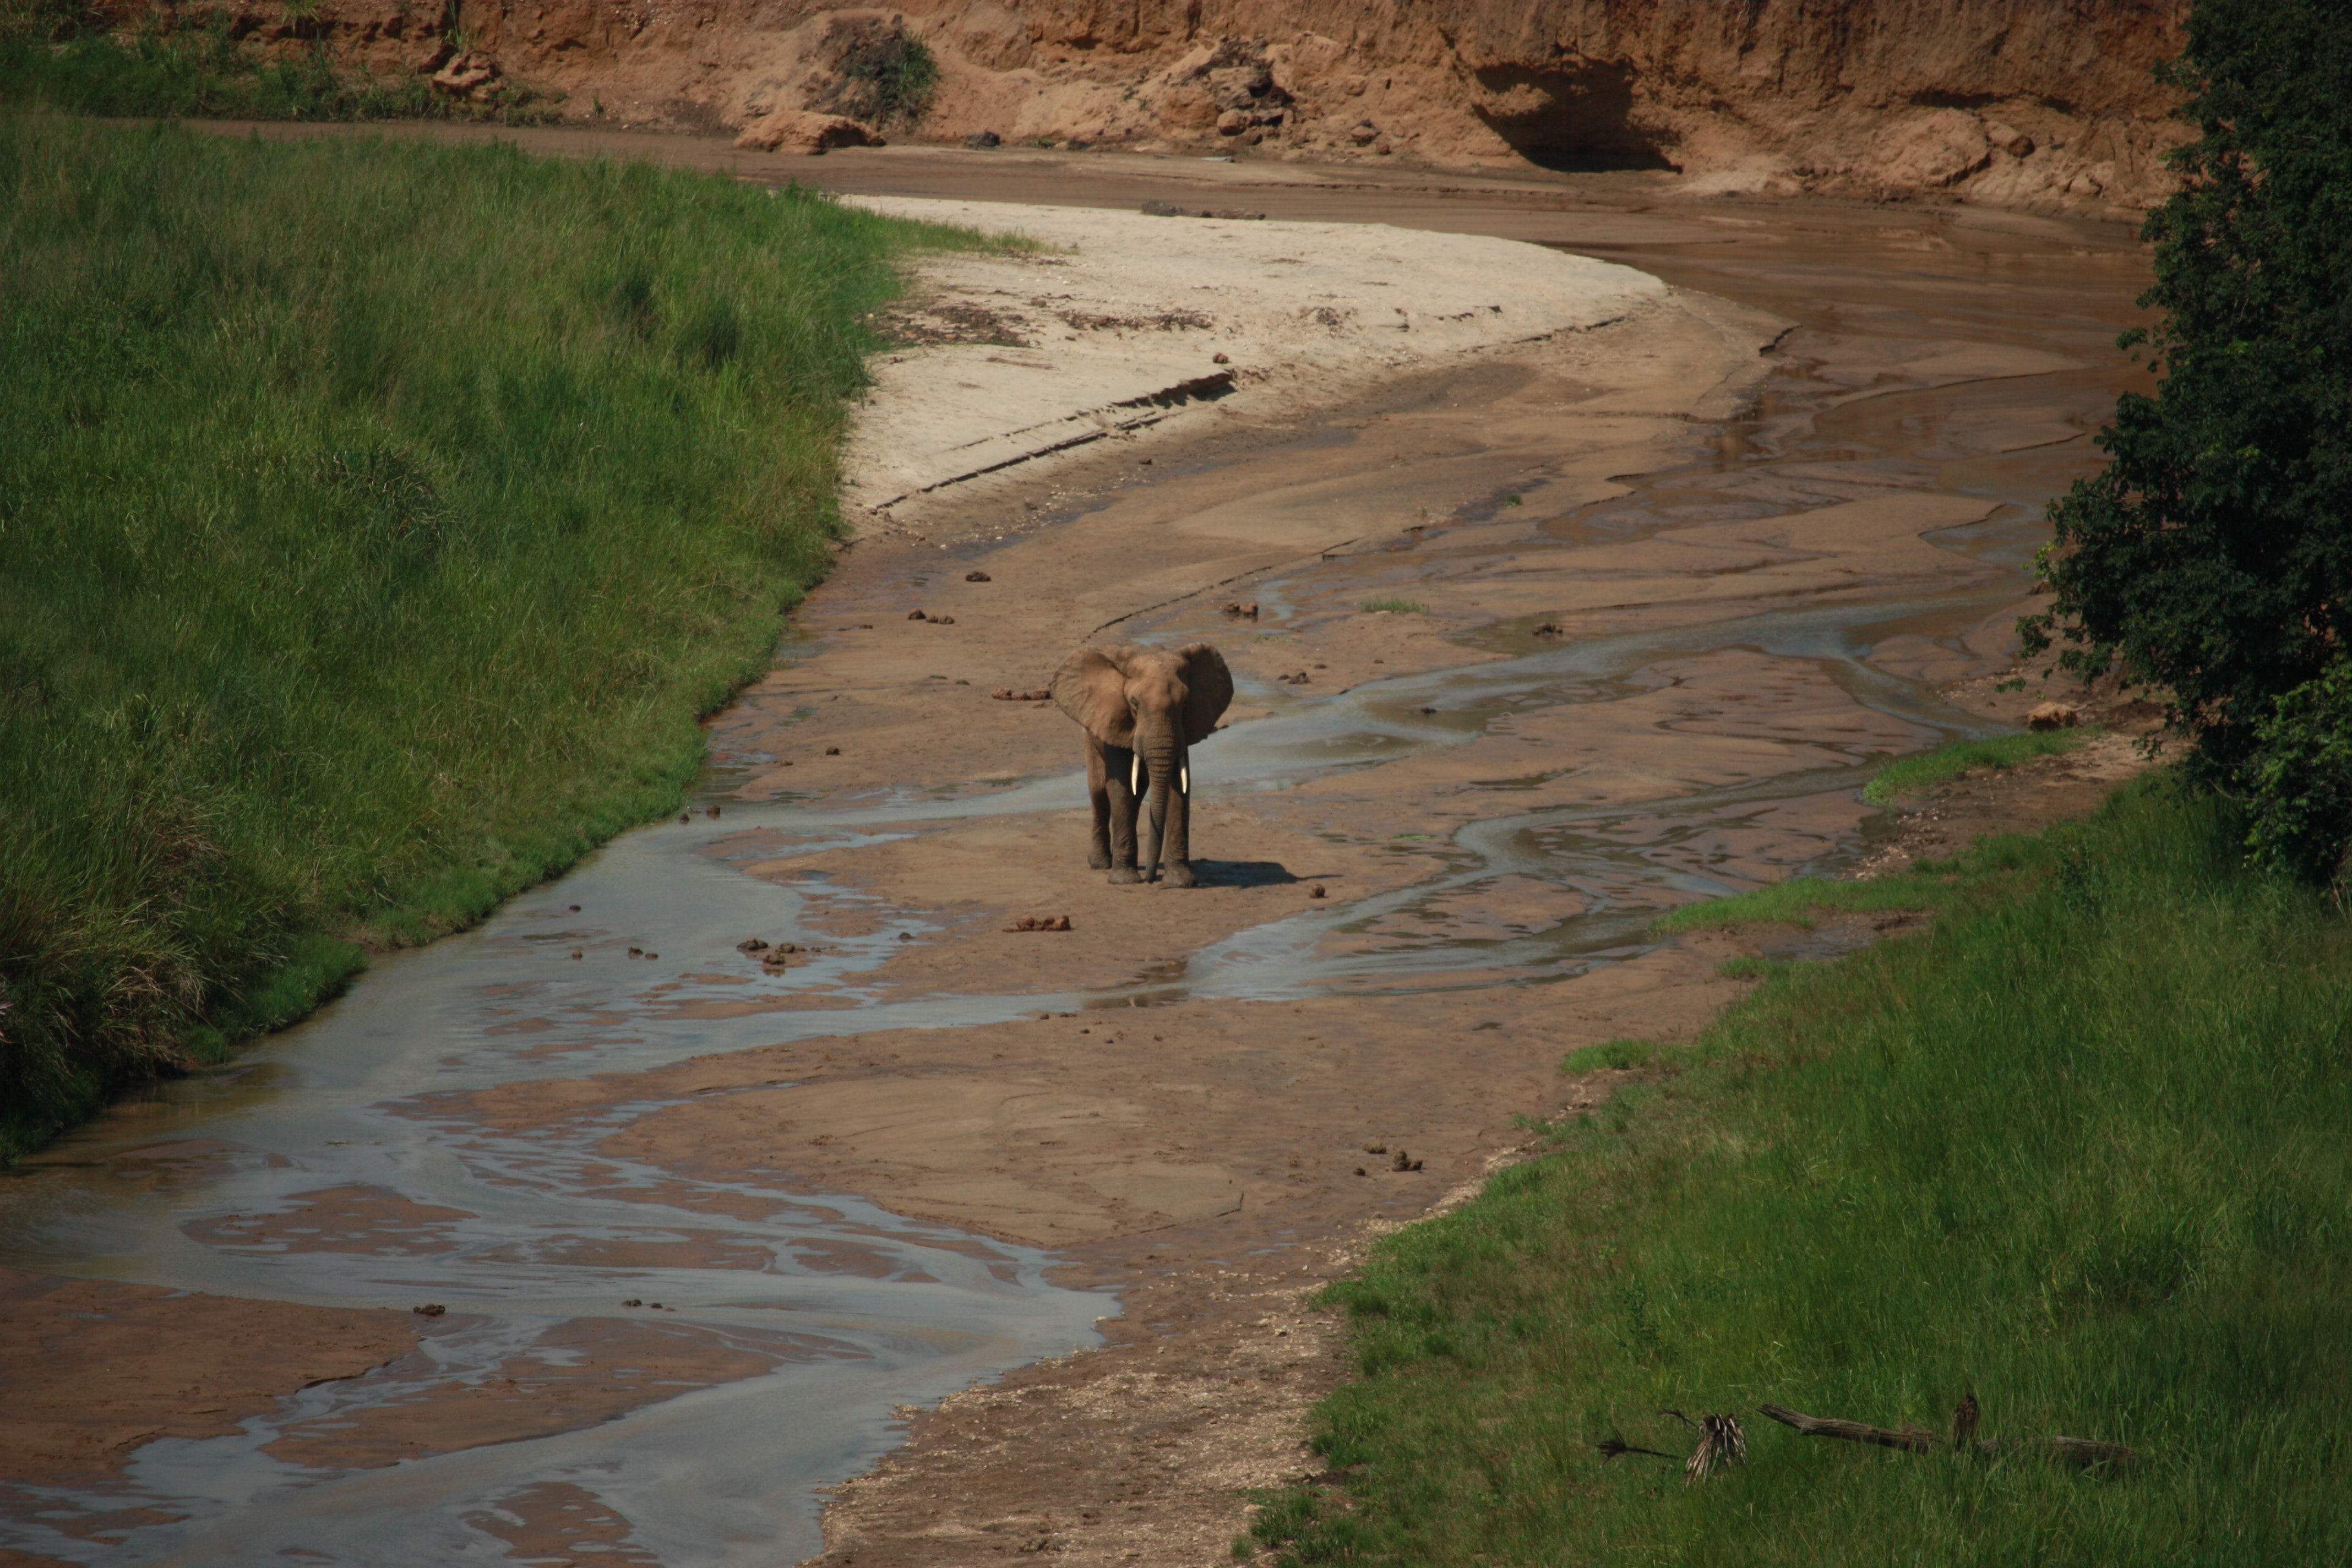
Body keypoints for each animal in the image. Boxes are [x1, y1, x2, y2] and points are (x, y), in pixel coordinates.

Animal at [1049, 639, 1232, 884]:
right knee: (1099, 793)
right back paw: (1100, 863)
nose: (1151, 879)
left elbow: (1180, 787)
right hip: (1089, 733)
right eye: (1134, 703)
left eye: (1185, 702)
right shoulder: (1115, 718)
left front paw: (1179, 883)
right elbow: (1122, 788)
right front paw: (1125, 881)